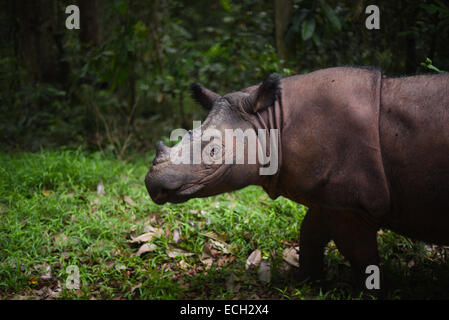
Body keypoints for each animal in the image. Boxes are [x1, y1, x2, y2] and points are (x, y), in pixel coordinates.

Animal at [144, 67, 448, 292]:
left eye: (214, 151)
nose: (152, 184)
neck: (270, 121)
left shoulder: (353, 206)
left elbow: (361, 256)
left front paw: (369, 292)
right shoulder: (330, 199)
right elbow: (310, 235)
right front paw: (307, 282)